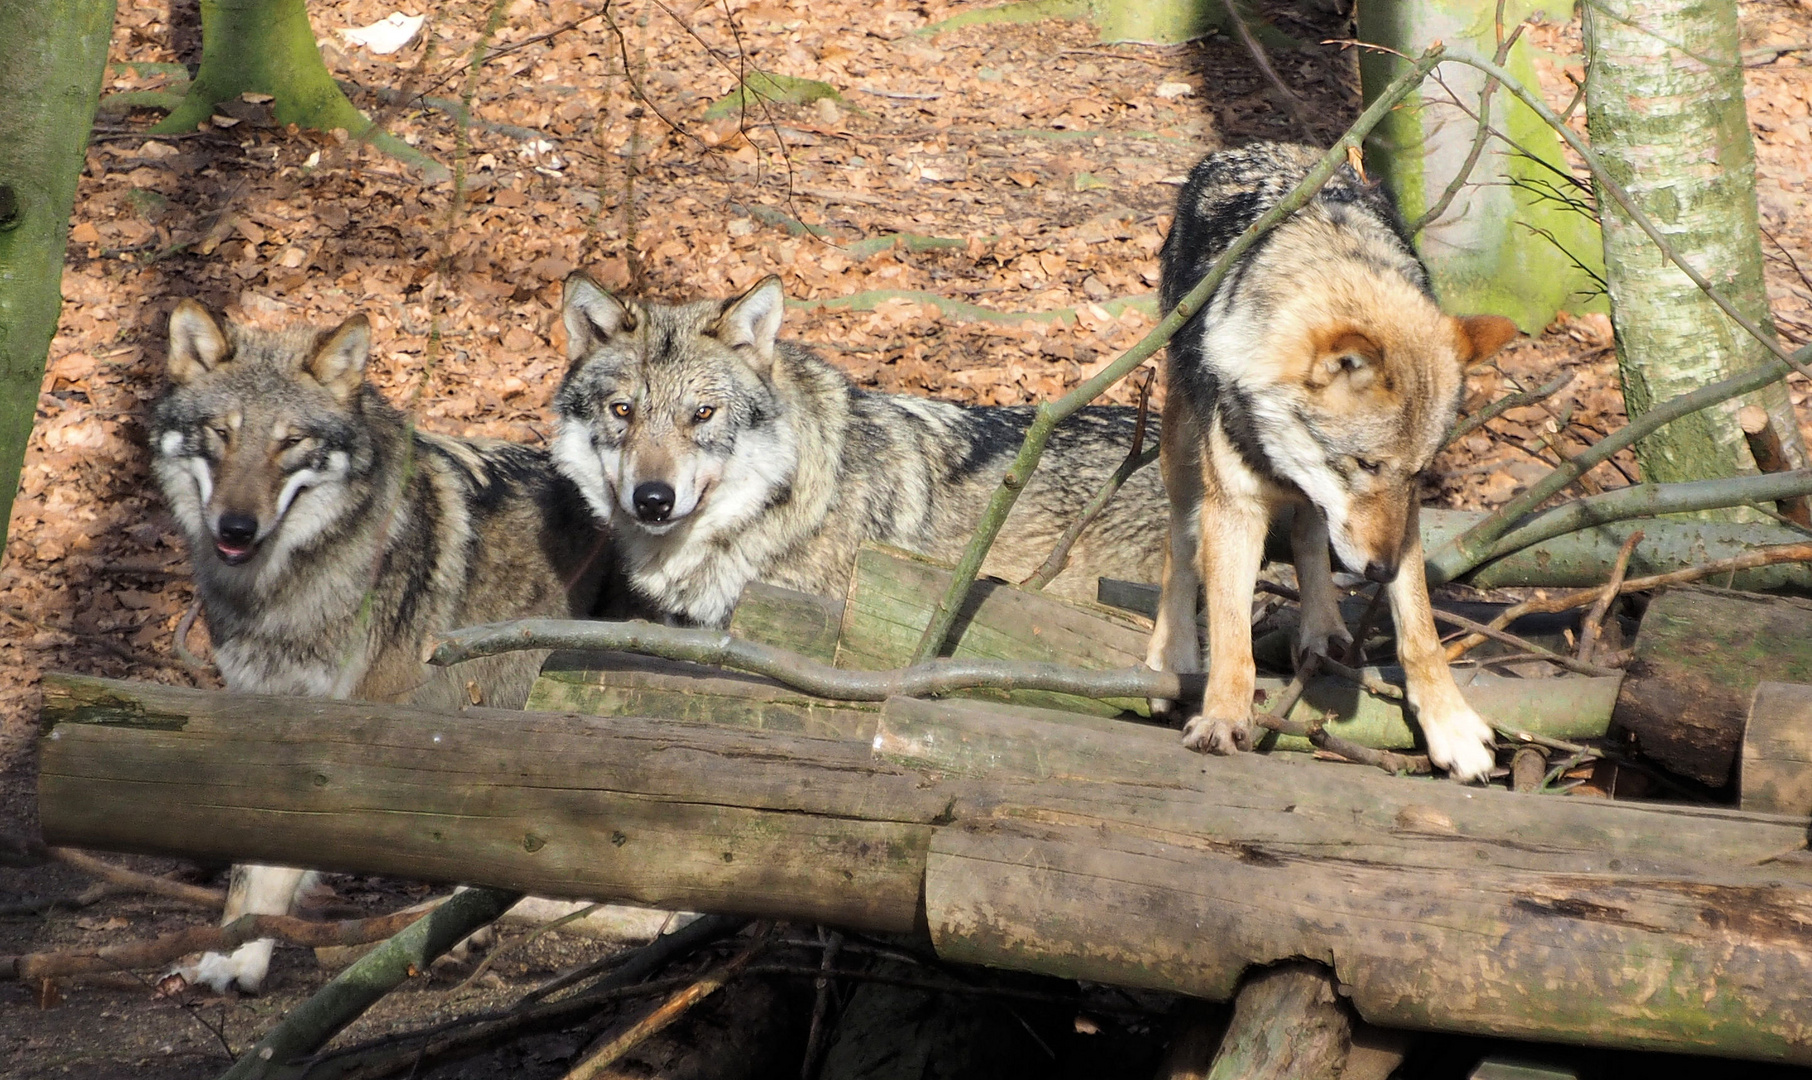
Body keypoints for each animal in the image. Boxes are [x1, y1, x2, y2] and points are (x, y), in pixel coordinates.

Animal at [150, 298, 616, 993]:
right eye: (222, 434)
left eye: (291, 441)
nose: (235, 528)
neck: (288, 586)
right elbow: (250, 861)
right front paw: (226, 953)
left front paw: (246, 958)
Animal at [1152, 143, 1522, 786]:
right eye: (1365, 463)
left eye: (1418, 471)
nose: (1379, 571)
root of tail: (1242, 148)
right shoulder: (1236, 507)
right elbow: (1232, 637)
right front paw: (1222, 717)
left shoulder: (1403, 519)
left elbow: (1420, 632)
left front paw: (1451, 726)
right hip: (1182, 446)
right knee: (1178, 542)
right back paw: (1168, 657)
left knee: (1307, 535)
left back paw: (1323, 630)